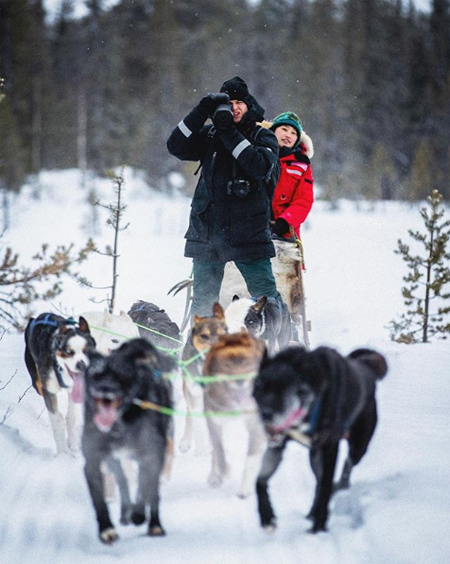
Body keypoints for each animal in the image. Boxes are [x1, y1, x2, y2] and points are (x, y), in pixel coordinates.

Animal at [253, 344, 386, 532]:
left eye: (283, 388)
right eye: (258, 387)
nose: (264, 415)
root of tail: (367, 368)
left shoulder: (330, 447)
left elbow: (325, 487)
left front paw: (319, 526)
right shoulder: (277, 446)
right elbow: (259, 481)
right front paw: (267, 516)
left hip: (358, 446)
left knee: (345, 467)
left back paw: (338, 489)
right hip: (315, 456)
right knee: (319, 480)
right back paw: (312, 512)